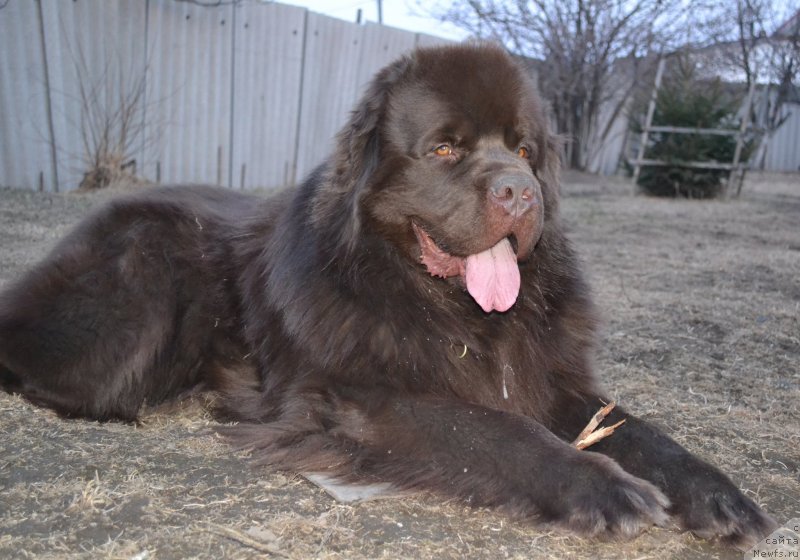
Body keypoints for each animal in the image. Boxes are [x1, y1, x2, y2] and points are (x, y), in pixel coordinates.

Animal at [0, 42, 776, 548]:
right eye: (445, 149)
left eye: (525, 151)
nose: (521, 192)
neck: (450, 309)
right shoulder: (361, 396)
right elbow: (496, 429)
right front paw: (599, 484)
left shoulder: (550, 377)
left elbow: (639, 430)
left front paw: (718, 494)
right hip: (139, 297)